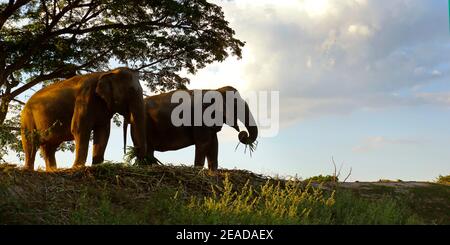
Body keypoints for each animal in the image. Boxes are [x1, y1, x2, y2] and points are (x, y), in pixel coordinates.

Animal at [123, 86, 258, 170]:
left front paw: (213, 172)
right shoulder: (201, 119)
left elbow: (214, 144)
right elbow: (203, 143)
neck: (215, 89)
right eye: (235, 103)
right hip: (140, 126)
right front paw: (198, 170)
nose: (243, 134)